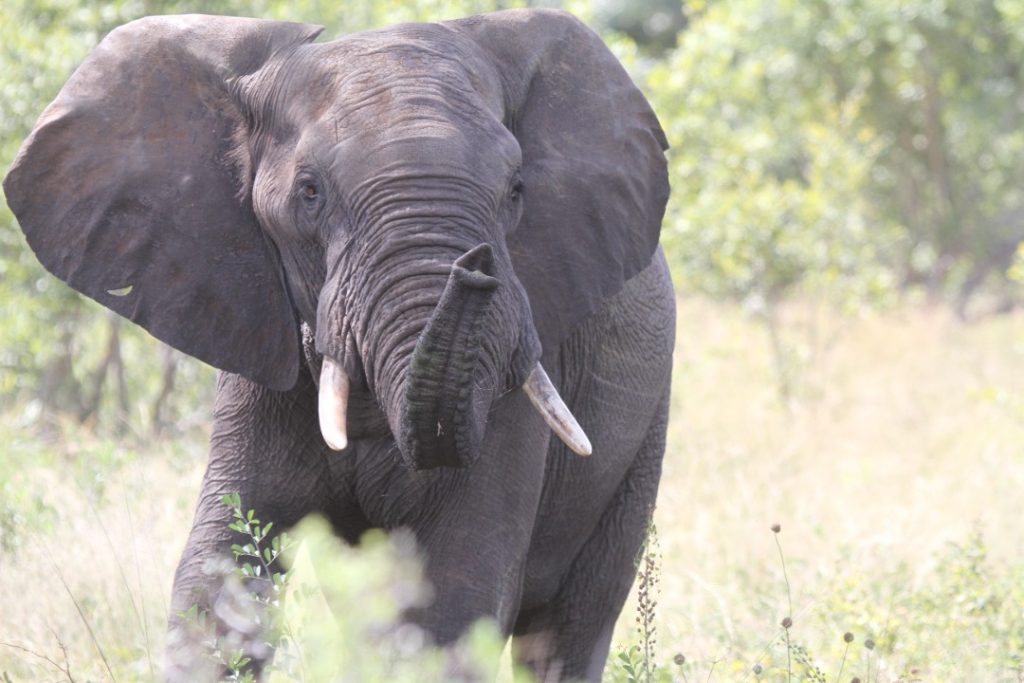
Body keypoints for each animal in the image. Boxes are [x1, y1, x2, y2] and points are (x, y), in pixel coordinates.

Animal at [3, 9, 674, 681]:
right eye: (310, 192)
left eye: (515, 190)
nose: (477, 268)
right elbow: (217, 577)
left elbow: (459, 591)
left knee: (572, 621)